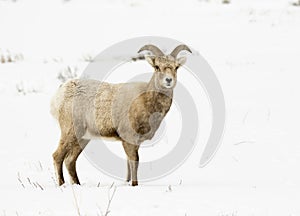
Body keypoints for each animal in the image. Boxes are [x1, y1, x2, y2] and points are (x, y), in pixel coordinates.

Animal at [51, 44, 192, 186]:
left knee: (70, 160)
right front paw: (134, 184)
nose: (168, 80)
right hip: (71, 132)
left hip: (83, 138)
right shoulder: (128, 138)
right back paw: (61, 184)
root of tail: (59, 94)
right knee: (57, 156)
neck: (145, 101)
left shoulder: (135, 142)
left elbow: (129, 163)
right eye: (157, 66)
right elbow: (134, 161)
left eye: (176, 67)